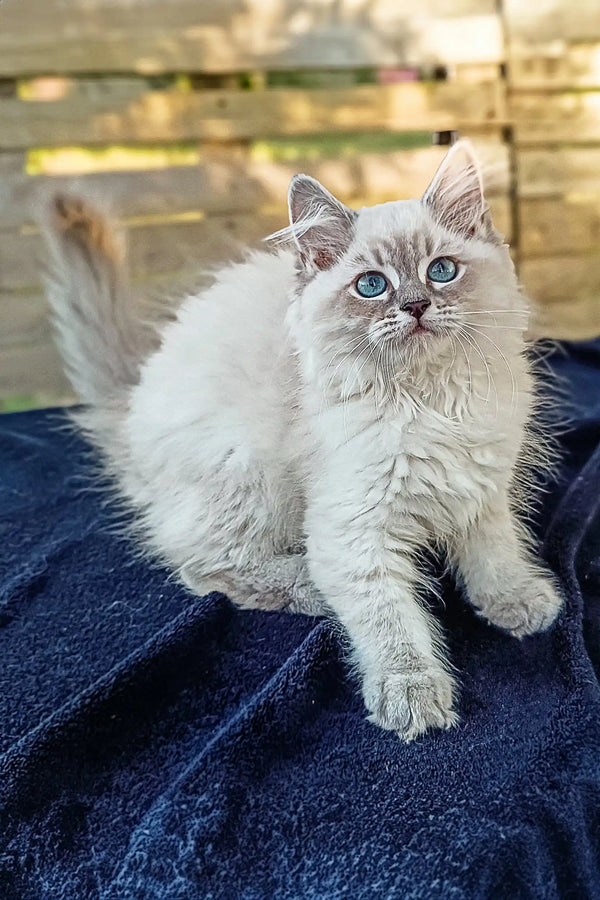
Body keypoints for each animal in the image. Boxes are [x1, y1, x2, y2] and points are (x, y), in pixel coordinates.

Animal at [43, 141, 564, 740]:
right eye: (372, 285)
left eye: (442, 271)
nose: (414, 306)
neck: (430, 400)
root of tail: (131, 405)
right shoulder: (351, 528)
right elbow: (388, 616)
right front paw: (411, 693)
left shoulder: (480, 487)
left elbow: (494, 553)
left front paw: (517, 600)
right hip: (246, 475)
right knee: (205, 568)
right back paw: (310, 587)